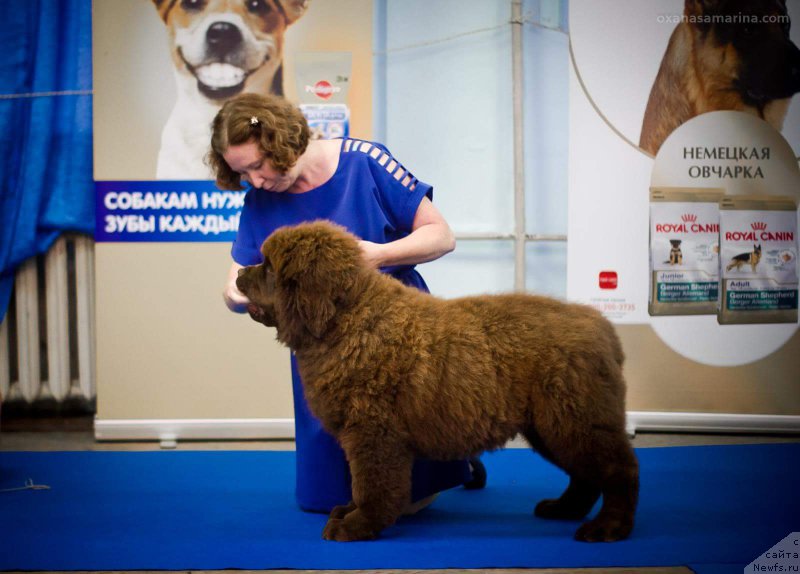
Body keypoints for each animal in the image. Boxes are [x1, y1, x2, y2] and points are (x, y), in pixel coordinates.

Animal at [236, 220, 636, 544]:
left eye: (269, 267)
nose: (239, 273)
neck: (347, 322)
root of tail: (603, 327)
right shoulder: (364, 433)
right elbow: (360, 483)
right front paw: (347, 511)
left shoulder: (373, 432)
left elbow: (372, 484)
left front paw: (356, 525)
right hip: (552, 425)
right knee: (586, 477)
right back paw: (564, 509)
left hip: (574, 419)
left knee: (620, 470)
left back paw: (608, 528)